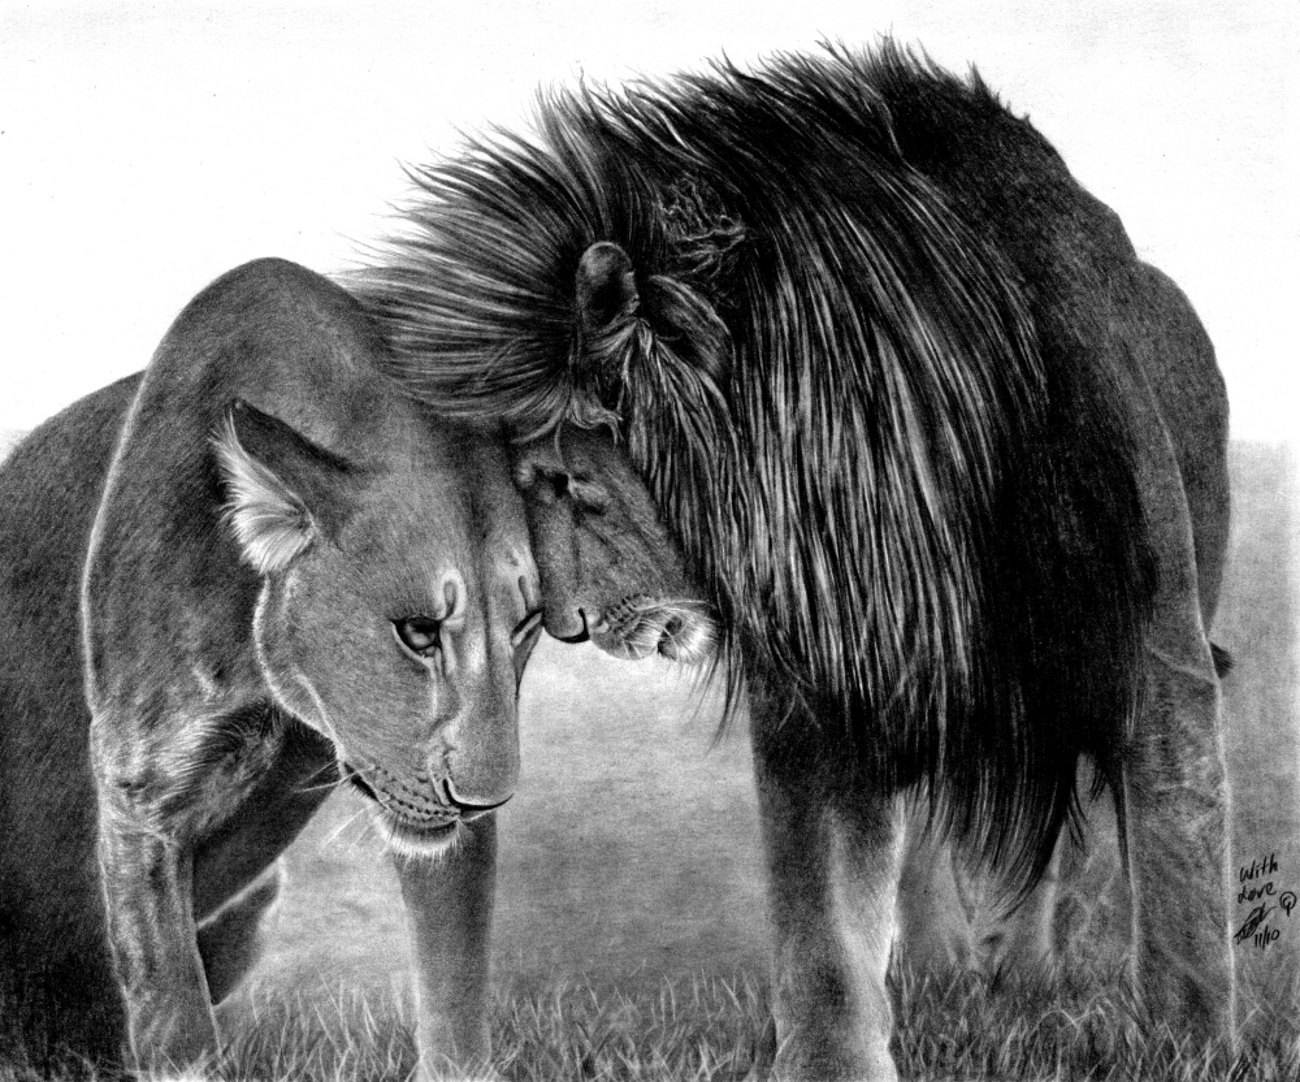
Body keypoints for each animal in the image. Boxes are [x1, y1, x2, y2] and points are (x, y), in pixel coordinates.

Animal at [0, 257, 564, 1078]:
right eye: (419, 631)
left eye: (524, 625)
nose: (486, 799)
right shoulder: (141, 794)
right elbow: (173, 1012)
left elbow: (455, 988)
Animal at [356, 43, 1235, 1079]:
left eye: (565, 480)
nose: (567, 624)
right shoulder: (830, 681)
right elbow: (822, 922)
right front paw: (829, 1058)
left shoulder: (1151, 654)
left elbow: (1177, 859)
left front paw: (1189, 1046)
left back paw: (1022, 979)